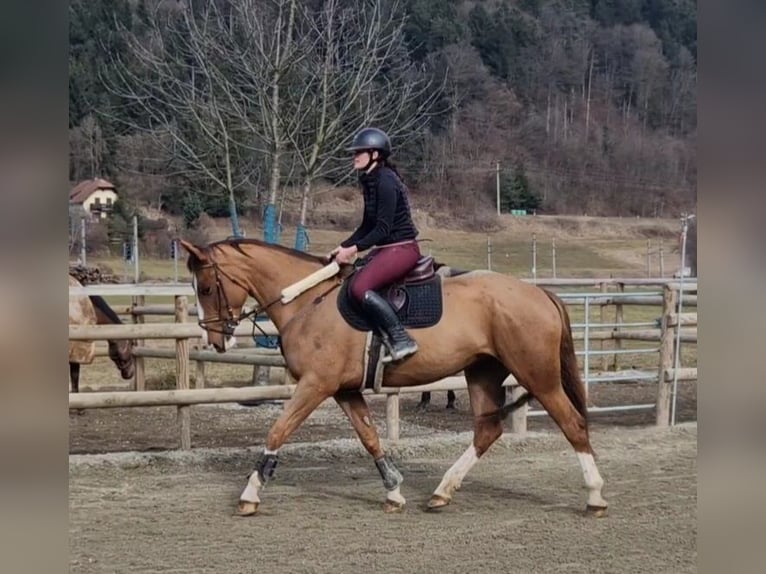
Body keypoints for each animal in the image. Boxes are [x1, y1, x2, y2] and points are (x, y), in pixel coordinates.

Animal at [179, 238, 608, 517]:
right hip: (483, 372)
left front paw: (251, 492)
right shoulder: (343, 390)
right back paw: (441, 492)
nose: (215, 339)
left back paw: (595, 497)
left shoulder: (316, 385)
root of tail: (540, 293)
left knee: (572, 424)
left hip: (538, 375)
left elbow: (278, 430)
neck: (305, 301)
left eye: (207, 287)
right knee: (487, 431)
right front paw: (394, 491)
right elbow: (369, 437)